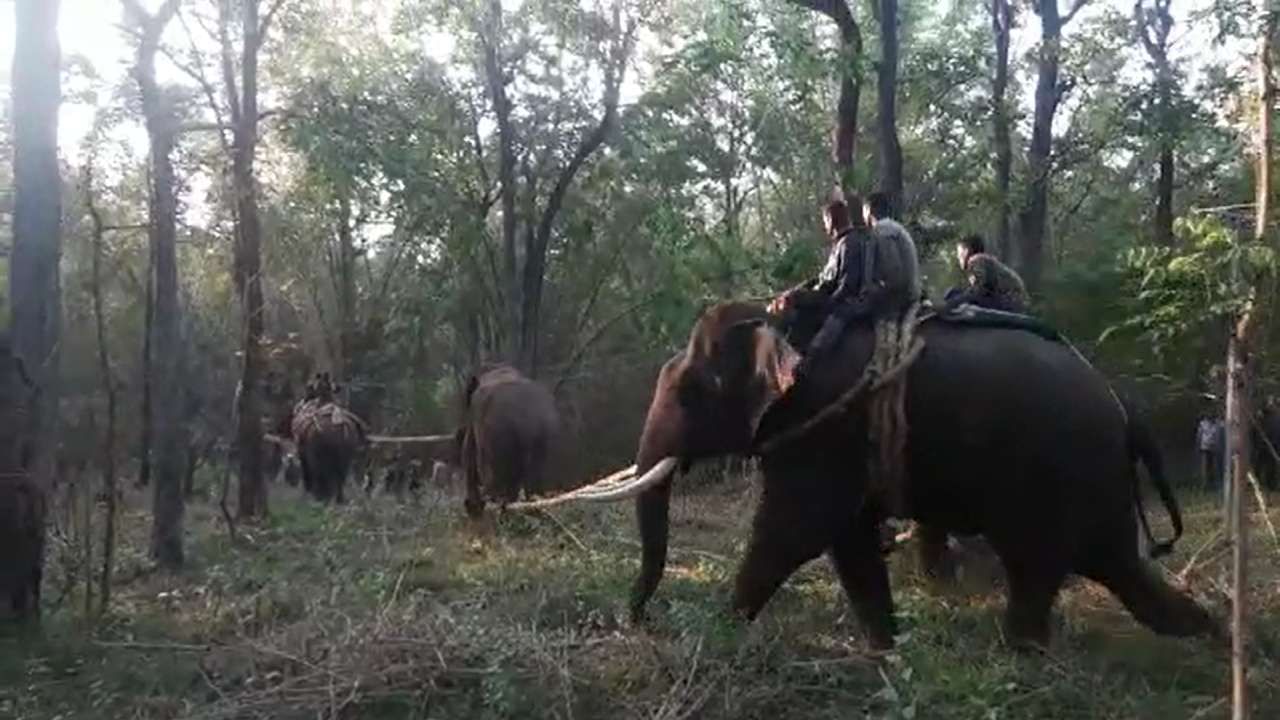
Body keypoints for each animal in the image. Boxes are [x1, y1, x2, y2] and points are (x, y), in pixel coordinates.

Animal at [614, 299, 1213, 648]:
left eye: (691, 393)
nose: (637, 621)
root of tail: (1123, 406)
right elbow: (848, 539)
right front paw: (885, 650)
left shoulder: (825, 424)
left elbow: (796, 529)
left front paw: (720, 629)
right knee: (1117, 564)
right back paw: (1208, 634)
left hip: (1058, 472)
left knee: (1041, 565)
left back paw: (1021, 656)